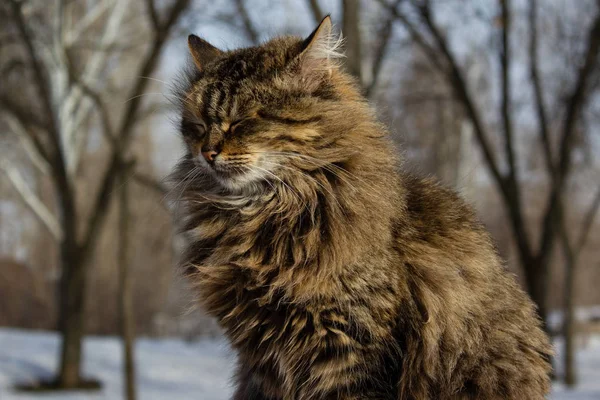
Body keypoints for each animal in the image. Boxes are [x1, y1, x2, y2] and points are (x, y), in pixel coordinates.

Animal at [171, 15, 552, 400]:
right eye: (197, 125)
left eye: (245, 121)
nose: (207, 152)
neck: (261, 214)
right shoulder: (262, 359)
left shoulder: (353, 351)